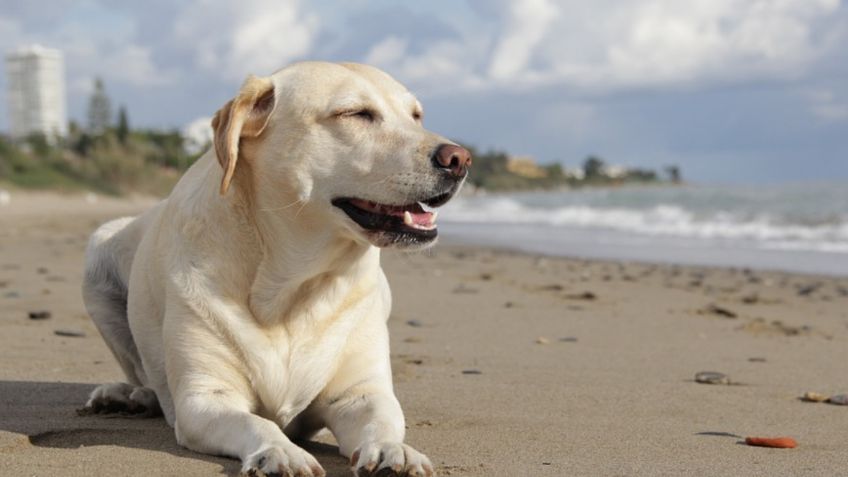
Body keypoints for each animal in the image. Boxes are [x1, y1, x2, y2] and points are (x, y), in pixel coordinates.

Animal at [81, 62, 470, 476]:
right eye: (355, 113)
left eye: (416, 116)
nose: (460, 159)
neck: (293, 286)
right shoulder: (204, 399)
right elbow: (256, 422)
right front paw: (281, 450)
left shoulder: (360, 393)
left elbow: (382, 419)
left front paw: (394, 450)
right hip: (97, 253)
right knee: (143, 375)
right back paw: (126, 395)